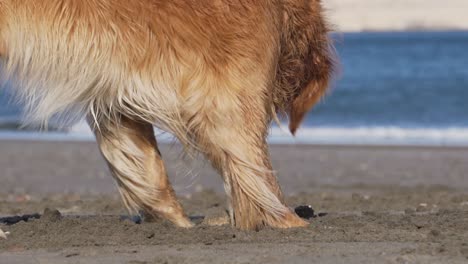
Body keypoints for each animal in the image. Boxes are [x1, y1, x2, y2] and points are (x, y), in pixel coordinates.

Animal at [0, 0, 336, 230]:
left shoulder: (114, 100)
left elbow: (145, 166)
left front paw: (177, 220)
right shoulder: (235, 100)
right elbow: (257, 169)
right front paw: (288, 221)